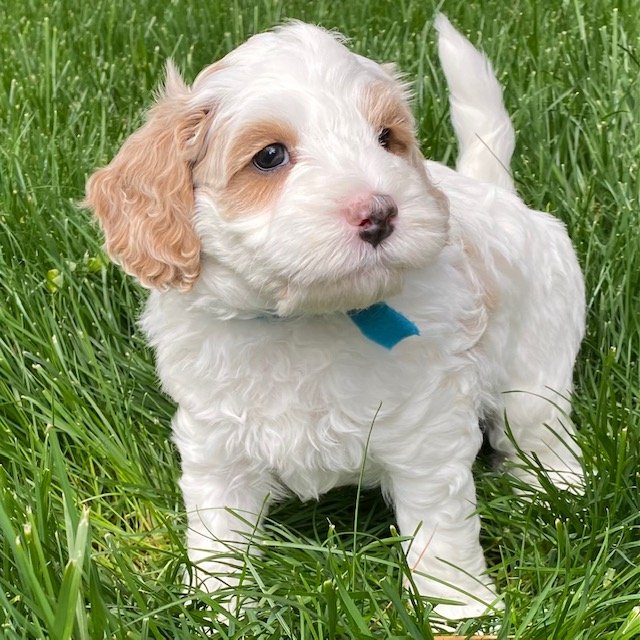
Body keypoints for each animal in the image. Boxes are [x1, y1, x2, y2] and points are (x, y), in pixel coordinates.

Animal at [85, 15, 584, 616]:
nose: (381, 212)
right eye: (269, 156)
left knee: (542, 431)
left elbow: (440, 534)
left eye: (386, 139)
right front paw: (218, 608)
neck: (304, 321)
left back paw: (555, 494)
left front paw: (460, 610)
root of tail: (498, 194)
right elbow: (218, 537)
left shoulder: (427, 432)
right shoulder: (216, 443)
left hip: (536, 363)